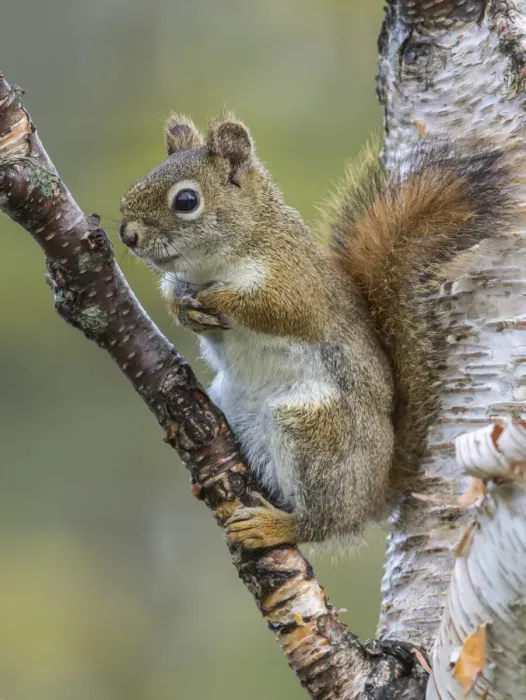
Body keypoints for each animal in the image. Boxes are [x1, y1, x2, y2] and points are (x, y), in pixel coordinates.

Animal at [119, 113, 514, 549]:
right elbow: (177, 295)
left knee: (321, 522)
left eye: (186, 201)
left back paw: (274, 527)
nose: (127, 235)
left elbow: (279, 311)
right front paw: (186, 311)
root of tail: (373, 496)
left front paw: (217, 300)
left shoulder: (297, 281)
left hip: (313, 429)